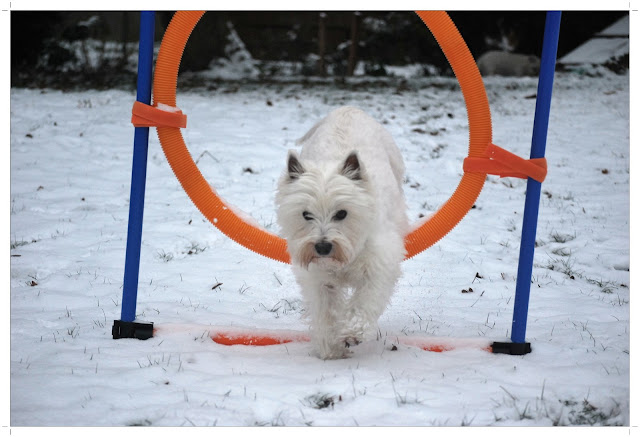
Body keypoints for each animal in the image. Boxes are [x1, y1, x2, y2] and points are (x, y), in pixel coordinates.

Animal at [276, 106, 410, 358]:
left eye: (341, 213)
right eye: (306, 214)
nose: (322, 247)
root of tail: (347, 108)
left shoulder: (379, 265)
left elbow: (366, 300)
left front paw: (352, 334)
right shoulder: (318, 278)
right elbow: (325, 311)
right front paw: (331, 348)